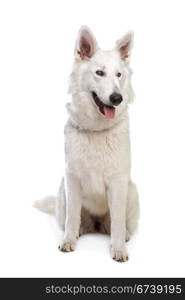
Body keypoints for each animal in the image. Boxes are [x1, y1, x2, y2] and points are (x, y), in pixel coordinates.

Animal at [34, 26, 139, 262]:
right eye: (99, 73)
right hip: (62, 190)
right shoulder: (72, 179)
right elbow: (73, 216)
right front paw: (68, 240)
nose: (117, 98)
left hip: (132, 191)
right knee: (73, 219)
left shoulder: (118, 183)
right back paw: (79, 230)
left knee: (118, 224)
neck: (96, 130)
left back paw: (124, 235)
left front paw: (118, 248)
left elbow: (117, 223)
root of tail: (97, 224)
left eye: (119, 75)